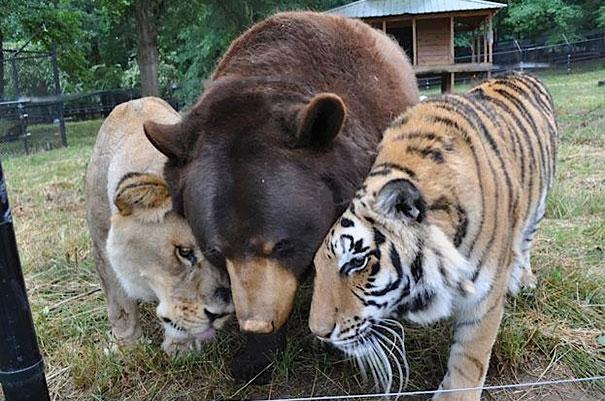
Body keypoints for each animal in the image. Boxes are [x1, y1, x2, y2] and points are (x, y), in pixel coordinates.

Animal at [85, 97, 234, 354]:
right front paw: (127, 346)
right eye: (184, 252)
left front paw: (180, 348)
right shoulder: (102, 246)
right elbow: (119, 305)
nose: (221, 313)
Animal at [312, 72, 556, 400]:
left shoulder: (485, 296)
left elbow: (470, 358)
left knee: (526, 241)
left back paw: (525, 279)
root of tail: (522, 72)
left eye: (356, 262)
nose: (319, 333)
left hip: (538, 205)